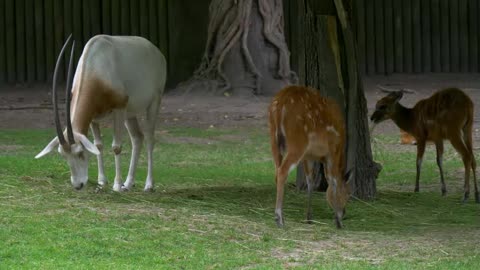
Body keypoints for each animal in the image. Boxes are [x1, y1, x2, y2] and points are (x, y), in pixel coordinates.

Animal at [35, 34, 167, 191]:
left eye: (80, 153)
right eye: (63, 155)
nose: (78, 185)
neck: (95, 69)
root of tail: (157, 52)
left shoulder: (119, 109)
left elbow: (116, 147)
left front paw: (116, 185)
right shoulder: (94, 117)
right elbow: (98, 145)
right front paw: (102, 181)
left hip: (153, 104)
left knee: (149, 139)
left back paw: (148, 185)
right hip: (130, 113)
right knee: (137, 138)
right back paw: (128, 183)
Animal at [268, 85, 350, 228]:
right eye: (347, 194)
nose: (344, 213)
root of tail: (280, 104)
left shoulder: (309, 156)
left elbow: (310, 180)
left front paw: (309, 218)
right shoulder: (333, 150)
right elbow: (333, 179)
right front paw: (338, 222)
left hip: (274, 138)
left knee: (276, 172)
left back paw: (282, 217)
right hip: (298, 142)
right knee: (283, 170)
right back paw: (279, 219)